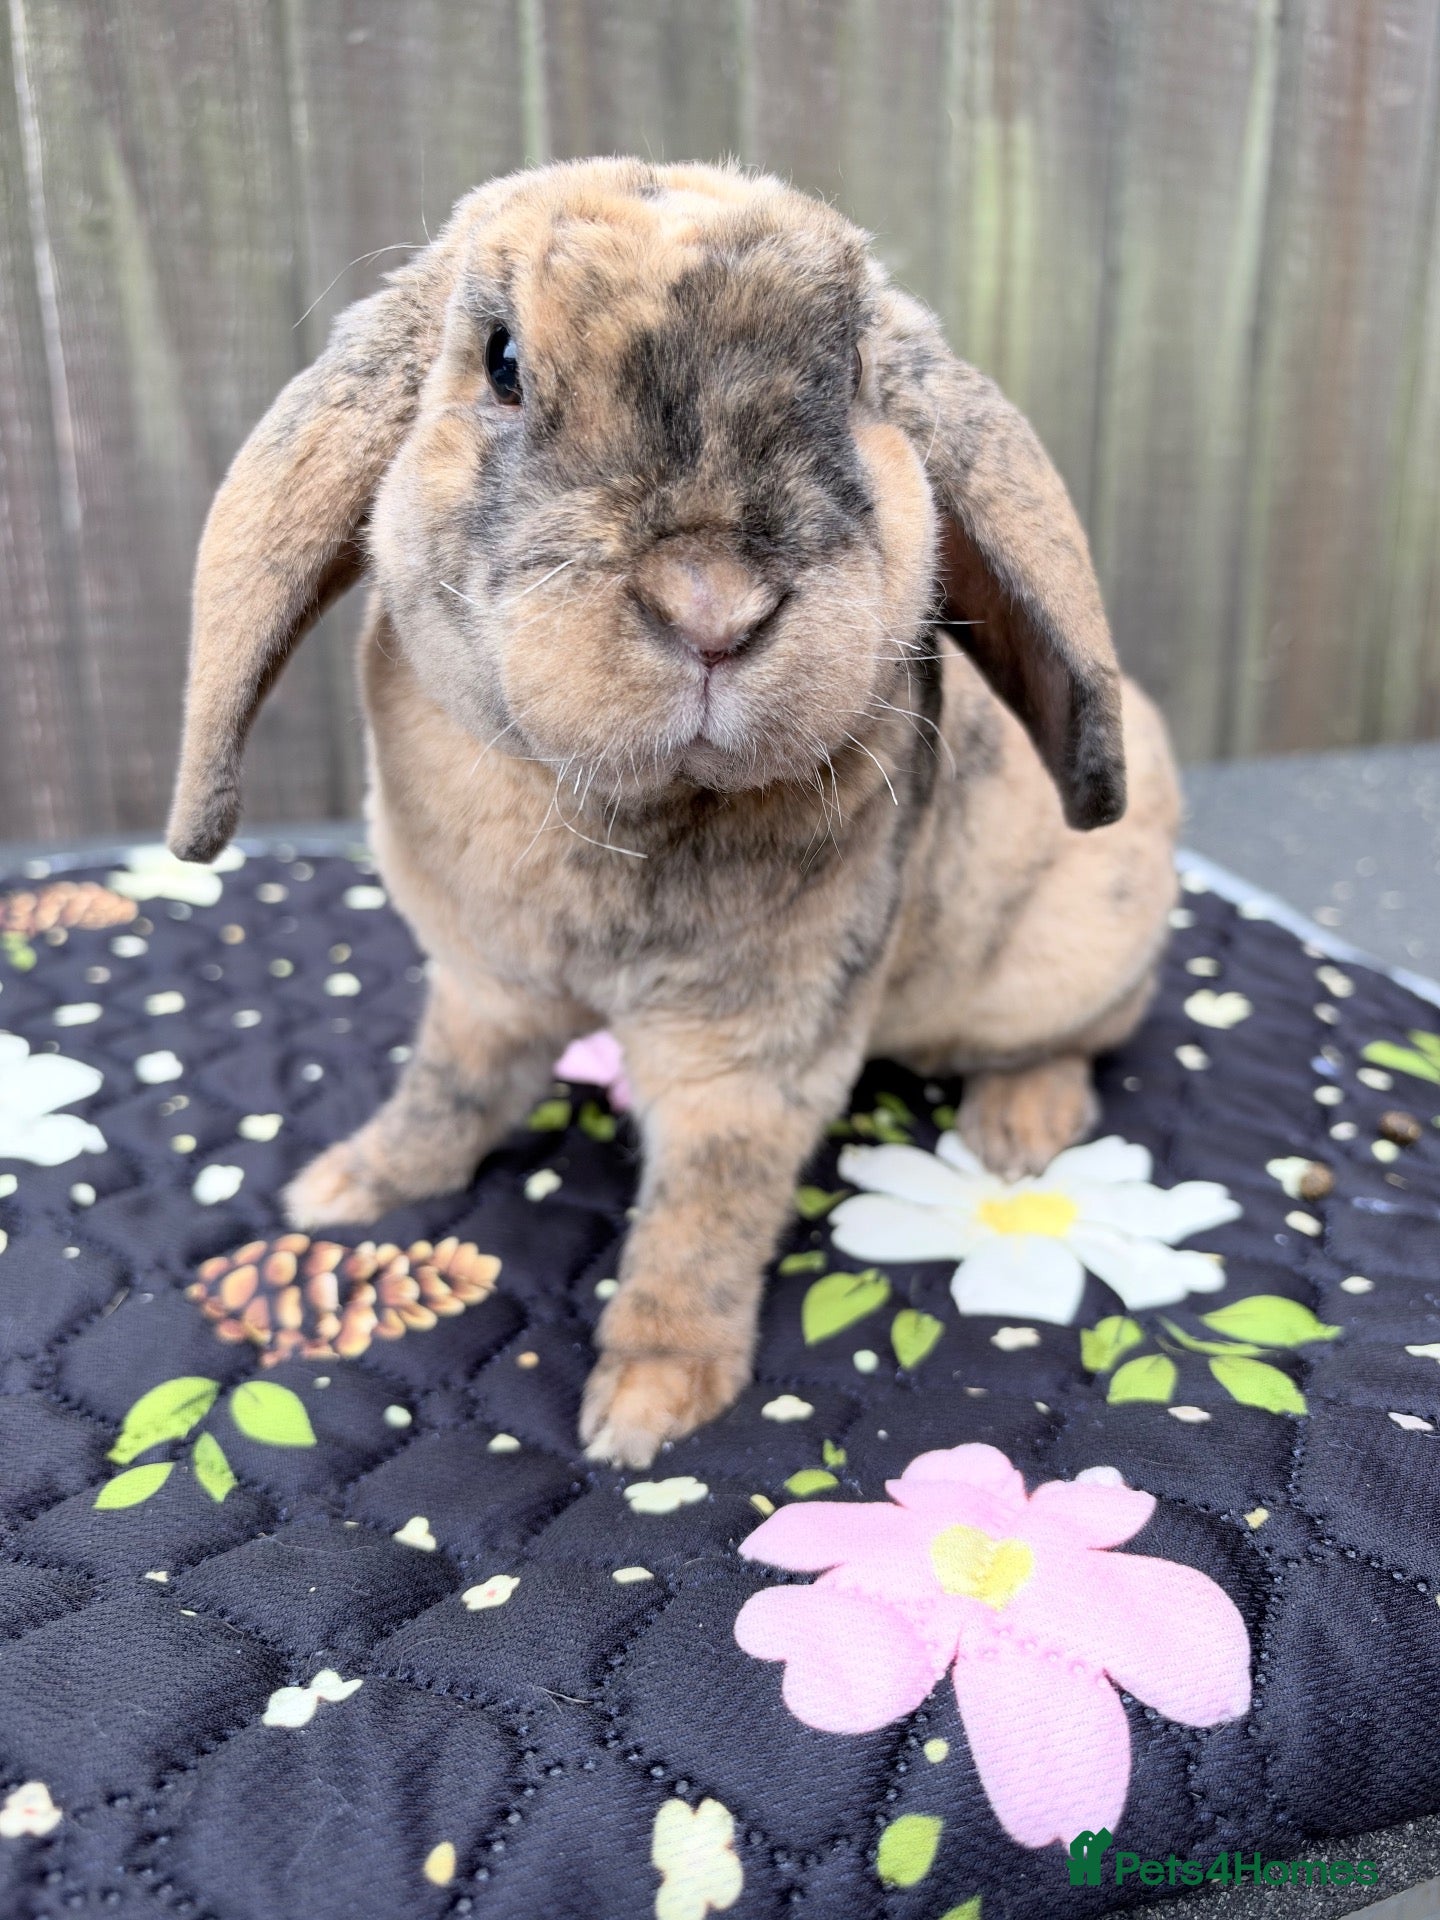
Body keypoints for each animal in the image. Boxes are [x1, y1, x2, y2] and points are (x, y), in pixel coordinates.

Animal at [167, 158, 1180, 1468]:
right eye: (501, 361)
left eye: (858, 369)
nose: (714, 608)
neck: (620, 803)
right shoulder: (482, 990)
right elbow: (445, 1096)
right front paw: (347, 1186)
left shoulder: (749, 1057)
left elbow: (705, 1213)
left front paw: (647, 1403)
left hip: (1050, 970)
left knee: (1088, 1038)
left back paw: (1019, 1127)